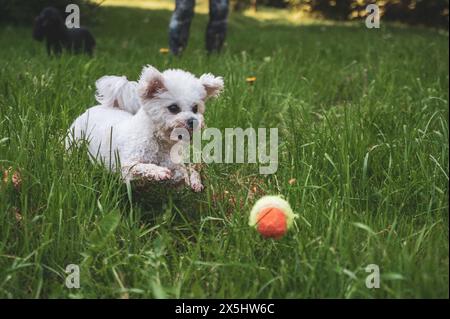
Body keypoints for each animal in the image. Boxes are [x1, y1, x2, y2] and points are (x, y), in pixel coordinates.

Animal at [66, 63, 224, 191]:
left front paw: (194, 181)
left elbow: (183, 171)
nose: (193, 121)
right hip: (74, 140)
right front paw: (158, 172)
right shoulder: (126, 166)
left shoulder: (173, 162)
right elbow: (139, 167)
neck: (157, 140)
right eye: (173, 108)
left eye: (195, 108)